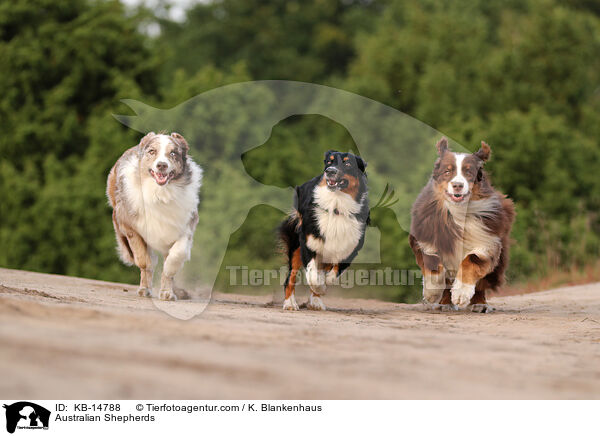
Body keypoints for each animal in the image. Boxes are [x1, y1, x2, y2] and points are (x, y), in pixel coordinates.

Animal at [106, 132, 203, 300]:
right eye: (152, 151)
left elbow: (175, 257)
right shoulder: (130, 228)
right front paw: (145, 287)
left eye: (173, 153)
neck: (160, 194)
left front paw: (167, 289)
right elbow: (144, 261)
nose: (162, 165)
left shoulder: (186, 225)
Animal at [278, 152, 368, 312]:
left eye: (348, 163)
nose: (330, 171)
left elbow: (333, 274)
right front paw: (319, 286)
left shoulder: (349, 247)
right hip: (296, 244)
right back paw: (290, 303)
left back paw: (316, 301)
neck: (336, 205)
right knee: (291, 276)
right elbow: (313, 276)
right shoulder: (309, 243)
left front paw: (322, 286)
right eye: (329, 162)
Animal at [410, 138, 512, 312]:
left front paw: (460, 294)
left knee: (482, 283)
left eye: (468, 172)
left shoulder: (487, 240)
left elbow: (471, 260)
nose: (458, 185)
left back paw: (479, 304)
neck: (458, 211)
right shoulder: (425, 237)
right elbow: (431, 260)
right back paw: (444, 303)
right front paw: (432, 292)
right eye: (447, 171)